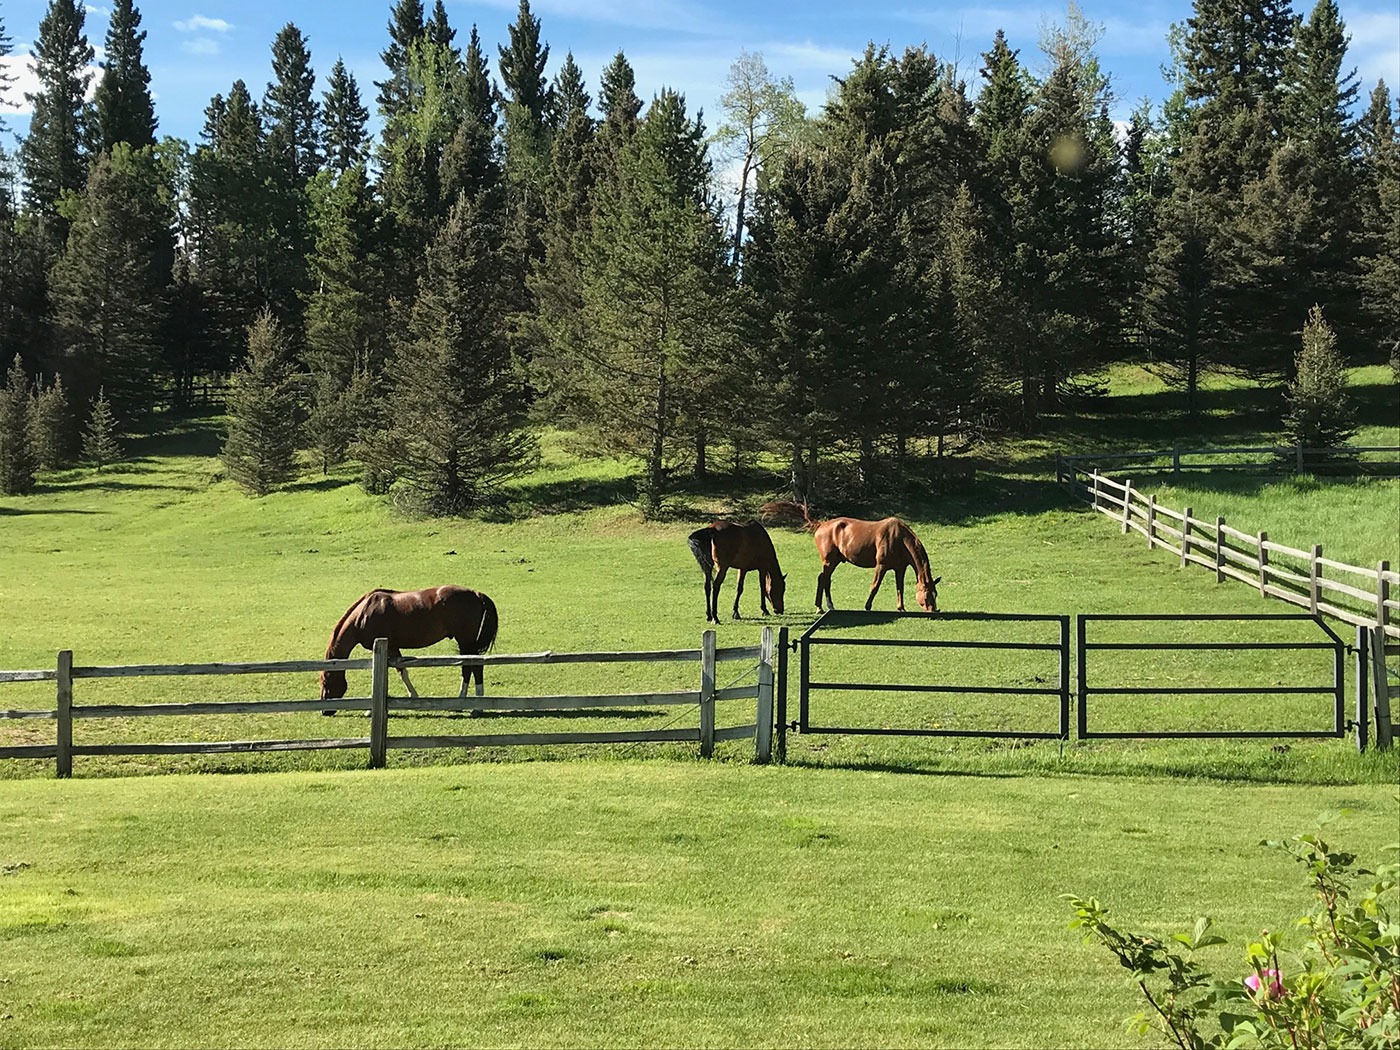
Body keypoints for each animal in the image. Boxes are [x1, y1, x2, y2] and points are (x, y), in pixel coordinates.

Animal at [319, 586, 498, 711]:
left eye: (325, 682)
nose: (324, 711)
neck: (363, 615)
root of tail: (476, 594)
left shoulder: (389, 647)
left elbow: (400, 672)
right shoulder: (392, 648)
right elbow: (400, 671)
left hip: (466, 642)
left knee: (473, 667)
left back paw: (474, 707)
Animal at [761, 501, 940, 613]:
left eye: (935, 593)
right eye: (927, 594)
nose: (933, 610)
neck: (898, 538)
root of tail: (821, 524)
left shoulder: (899, 568)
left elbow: (900, 588)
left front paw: (901, 608)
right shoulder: (881, 565)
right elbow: (875, 586)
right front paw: (867, 606)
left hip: (834, 562)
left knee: (826, 580)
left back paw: (829, 606)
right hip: (828, 561)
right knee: (822, 579)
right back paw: (819, 607)